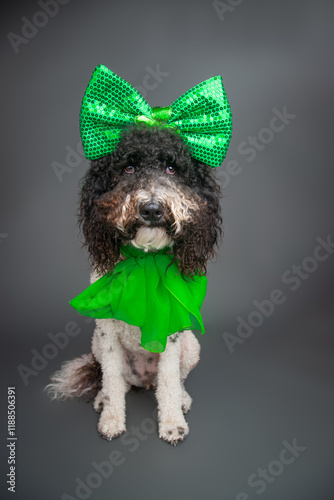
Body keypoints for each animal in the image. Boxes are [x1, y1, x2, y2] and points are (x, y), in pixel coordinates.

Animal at [46, 125, 222, 446]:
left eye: (171, 169)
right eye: (128, 168)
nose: (151, 209)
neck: (145, 260)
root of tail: (144, 379)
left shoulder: (171, 334)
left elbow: (169, 381)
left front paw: (172, 424)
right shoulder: (107, 333)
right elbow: (113, 381)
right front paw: (112, 420)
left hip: (191, 347)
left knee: (174, 380)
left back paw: (182, 399)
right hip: (97, 345)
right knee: (112, 380)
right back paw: (102, 399)